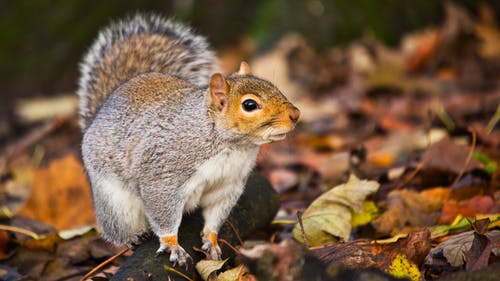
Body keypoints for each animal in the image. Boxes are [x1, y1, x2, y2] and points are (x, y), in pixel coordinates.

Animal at [76, 14, 298, 266]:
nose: (296, 114)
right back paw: (132, 237)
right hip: (115, 201)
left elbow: (215, 214)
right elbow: (163, 213)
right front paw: (172, 245)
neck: (231, 146)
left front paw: (211, 240)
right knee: (117, 227)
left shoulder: (228, 184)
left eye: (274, 86)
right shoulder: (162, 174)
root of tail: (98, 116)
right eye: (249, 105)